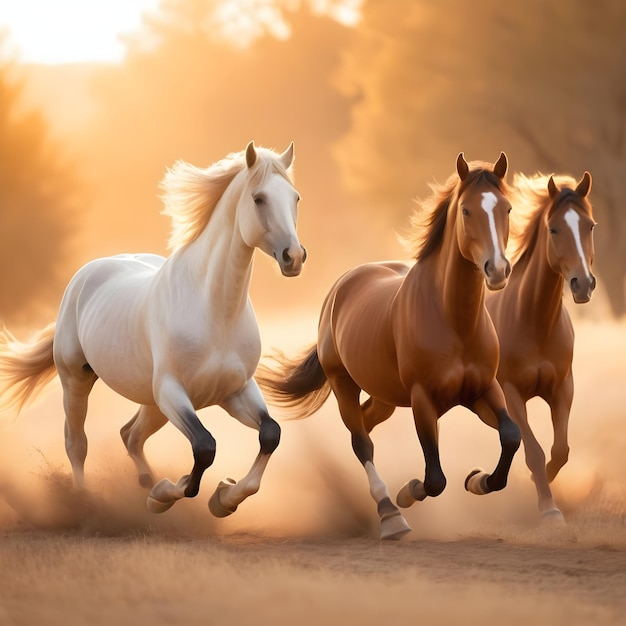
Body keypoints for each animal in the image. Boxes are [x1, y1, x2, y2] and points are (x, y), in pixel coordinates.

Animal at [0, 141, 306, 516]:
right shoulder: (172, 391)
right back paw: (87, 502)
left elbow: (270, 434)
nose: (294, 257)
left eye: (295, 197)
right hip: (77, 380)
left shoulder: (235, 391)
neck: (215, 312)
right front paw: (167, 494)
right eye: (259, 198)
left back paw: (147, 483)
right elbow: (205, 446)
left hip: (151, 402)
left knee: (130, 435)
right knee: (77, 443)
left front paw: (223, 497)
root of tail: (85, 275)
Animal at [256, 151, 520, 536]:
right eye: (467, 210)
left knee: (365, 424)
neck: (455, 322)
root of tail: (342, 286)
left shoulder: (482, 391)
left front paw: (477, 479)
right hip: (343, 384)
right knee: (361, 442)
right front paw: (409, 492)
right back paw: (390, 515)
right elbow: (435, 479)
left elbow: (511, 435)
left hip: (385, 396)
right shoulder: (424, 399)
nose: (497, 270)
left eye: (507, 208)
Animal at [482, 168, 596, 520]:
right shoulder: (511, 392)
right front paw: (548, 508)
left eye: (590, 226)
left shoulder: (562, 388)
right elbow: (533, 450)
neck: (535, 322)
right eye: (554, 228)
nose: (583, 284)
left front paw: (541, 483)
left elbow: (560, 451)